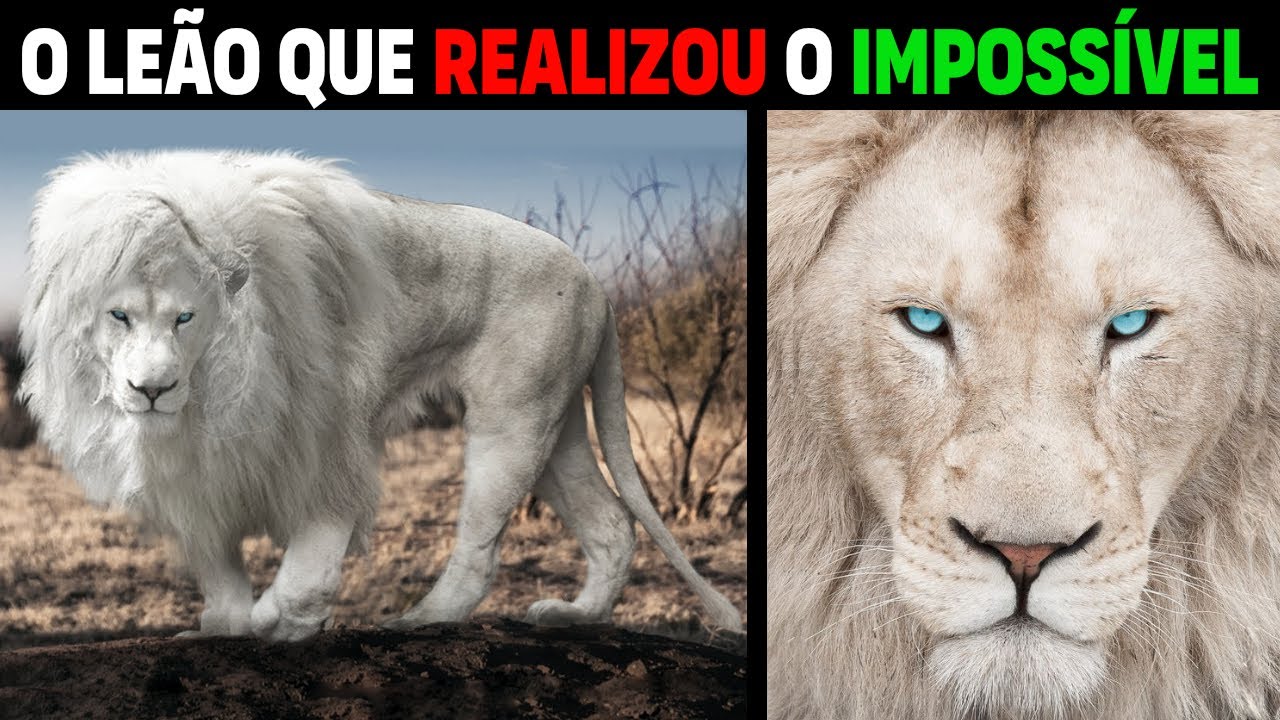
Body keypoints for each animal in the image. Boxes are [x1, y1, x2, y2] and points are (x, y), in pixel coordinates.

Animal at [18, 150, 742, 642]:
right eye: (118, 316)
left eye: (185, 318)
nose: (152, 389)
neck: (211, 395)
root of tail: (596, 281)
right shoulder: (200, 473)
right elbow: (216, 559)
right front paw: (224, 622)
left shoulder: (326, 430)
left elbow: (315, 546)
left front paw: (282, 617)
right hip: (557, 423)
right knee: (612, 524)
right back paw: (576, 616)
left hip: (513, 416)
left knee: (483, 545)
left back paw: (419, 619)